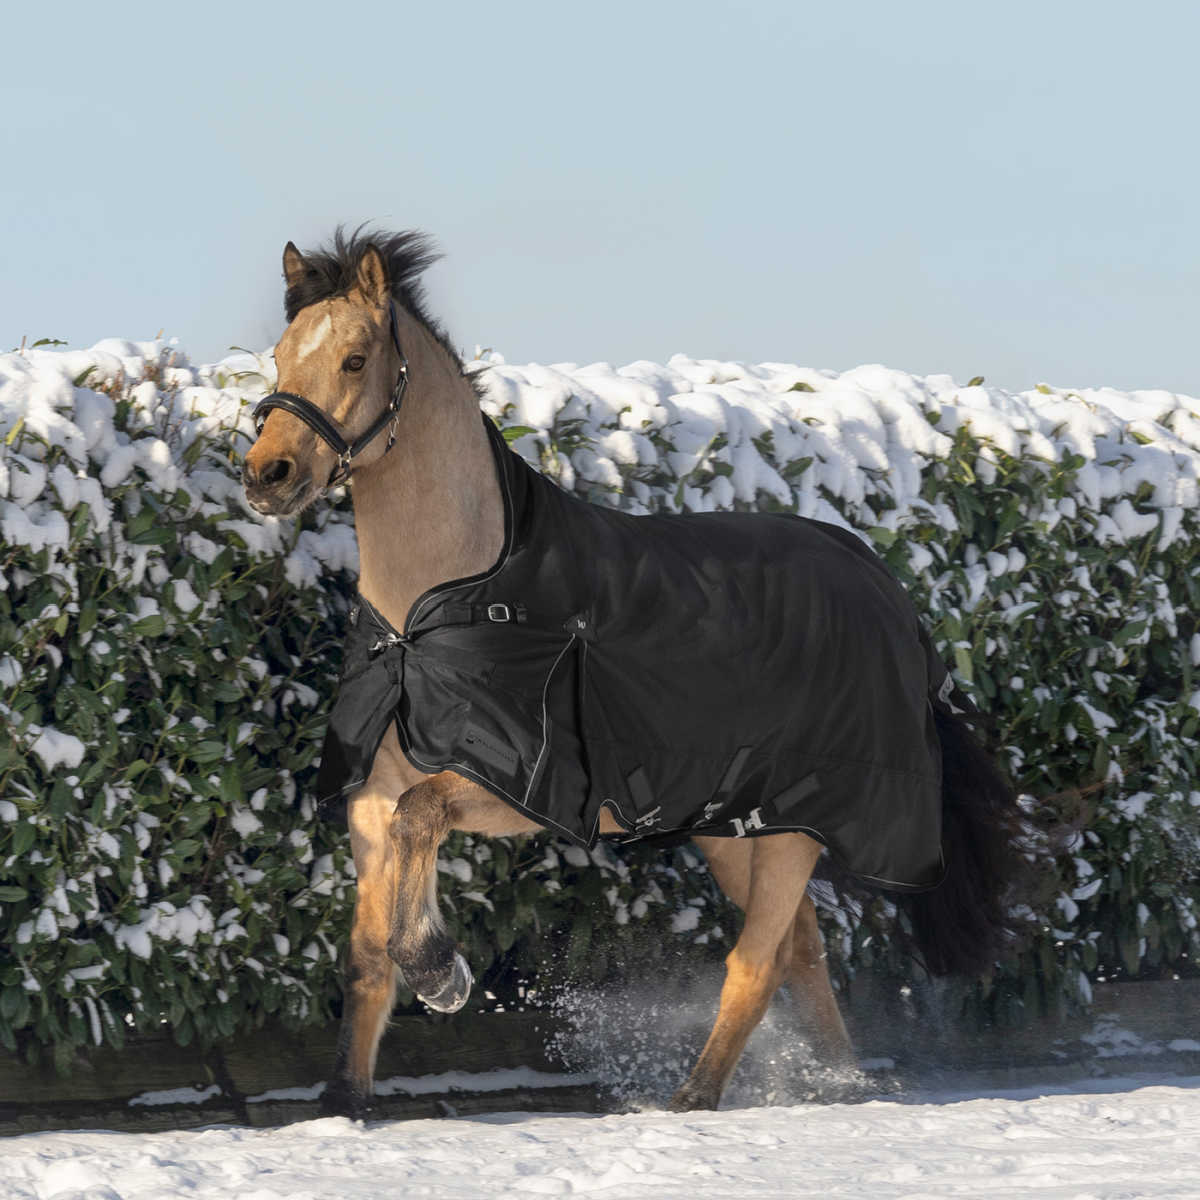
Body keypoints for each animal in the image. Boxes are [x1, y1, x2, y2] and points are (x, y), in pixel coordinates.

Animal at [243, 226, 1022, 1113]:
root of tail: (890, 596)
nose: (267, 475)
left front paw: (443, 974)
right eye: (279, 355)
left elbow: (420, 823)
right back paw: (839, 1084)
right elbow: (368, 955)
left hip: (796, 827)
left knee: (757, 964)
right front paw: (343, 1101)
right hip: (734, 827)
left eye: (354, 358)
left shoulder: (514, 787)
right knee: (802, 954)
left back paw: (695, 1099)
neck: (435, 610)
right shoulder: (369, 798)